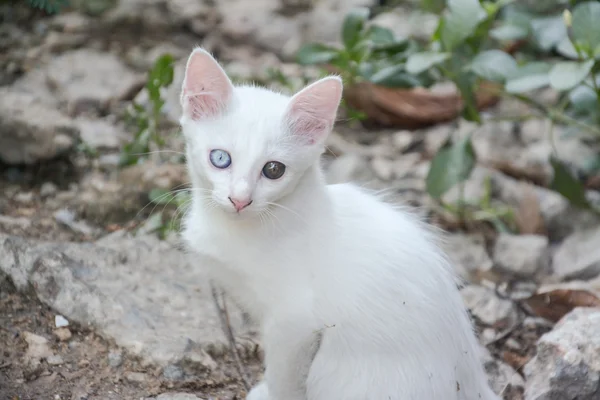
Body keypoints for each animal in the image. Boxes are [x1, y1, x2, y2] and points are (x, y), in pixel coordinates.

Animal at [179, 47, 502, 400]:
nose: (240, 200)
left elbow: (284, 376)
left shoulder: (294, 321)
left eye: (274, 170)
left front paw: (269, 394)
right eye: (220, 158)